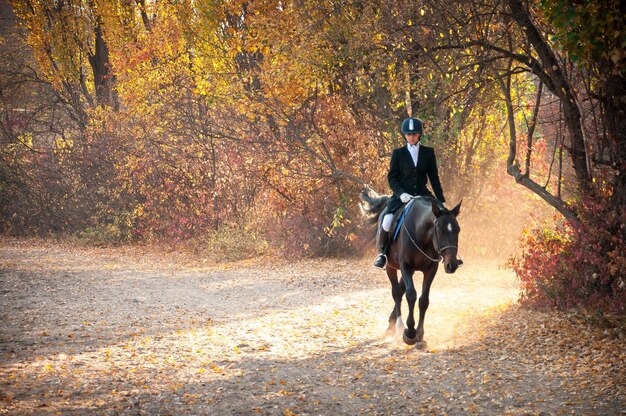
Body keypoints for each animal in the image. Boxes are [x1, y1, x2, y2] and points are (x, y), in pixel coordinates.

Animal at [360, 188, 458, 344]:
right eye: (440, 230)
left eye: (458, 230)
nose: (452, 264)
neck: (421, 232)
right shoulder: (405, 266)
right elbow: (411, 295)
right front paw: (410, 332)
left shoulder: (431, 269)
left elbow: (423, 300)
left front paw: (420, 333)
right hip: (391, 267)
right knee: (396, 293)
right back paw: (399, 326)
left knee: (400, 290)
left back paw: (392, 323)